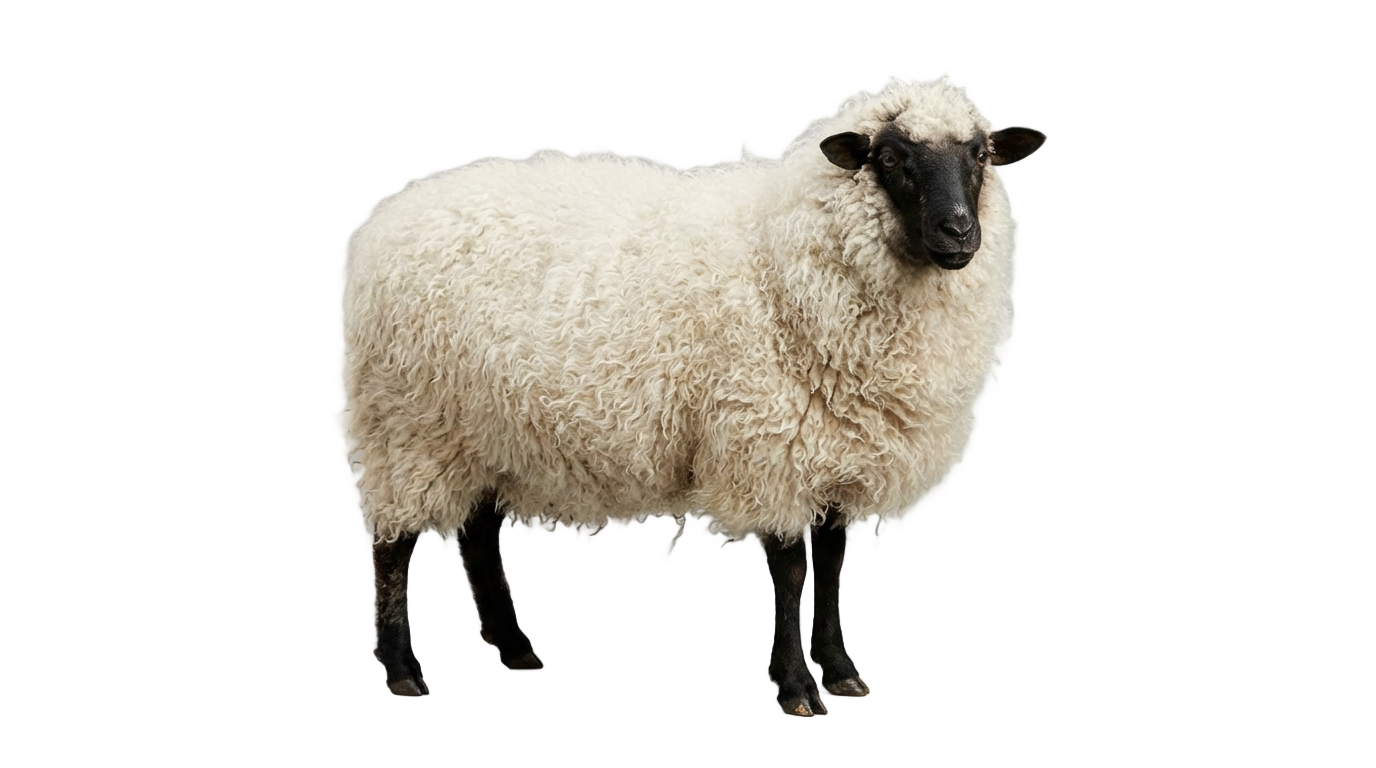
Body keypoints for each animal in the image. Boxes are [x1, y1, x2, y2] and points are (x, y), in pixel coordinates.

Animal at [346, 80, 1044, 716]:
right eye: (892, 158)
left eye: (981, 154)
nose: (959, 232)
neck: (787, 260)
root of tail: (390, 218)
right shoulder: (770, 447)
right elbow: (793, 574)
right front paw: (797, 691)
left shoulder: (834, 452)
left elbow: (831, 564)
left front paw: (841, 674)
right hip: (407, 423)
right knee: (393, 543)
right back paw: (403, 676)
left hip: (483, 429)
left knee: (478, 532)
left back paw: (516, 649)